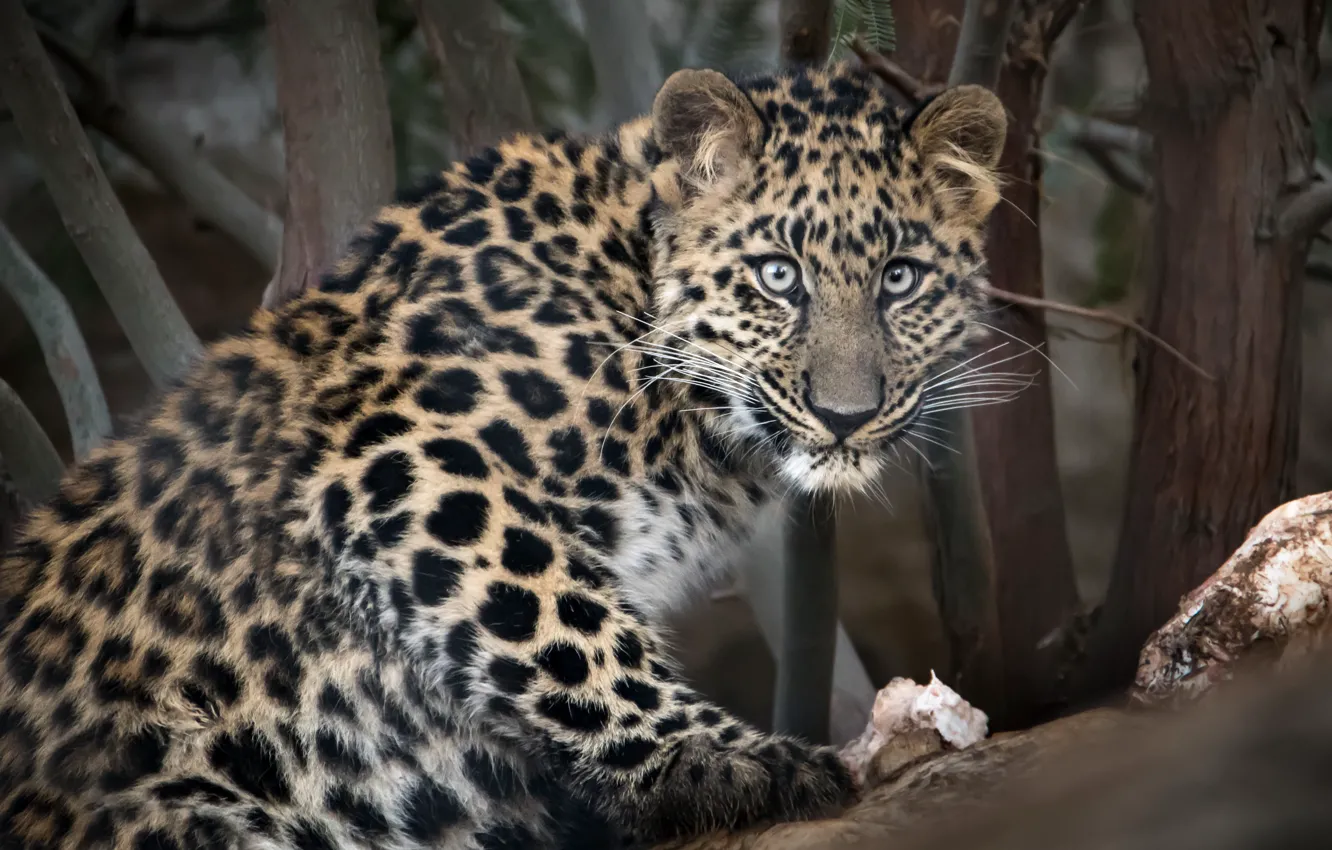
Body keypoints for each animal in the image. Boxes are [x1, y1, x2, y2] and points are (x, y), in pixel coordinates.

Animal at [0, 63, 1001, 850]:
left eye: (900, 279)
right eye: (778, 275)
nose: (845, 416)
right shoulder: (405, 455)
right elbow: (564, 621)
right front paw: (724, 759)